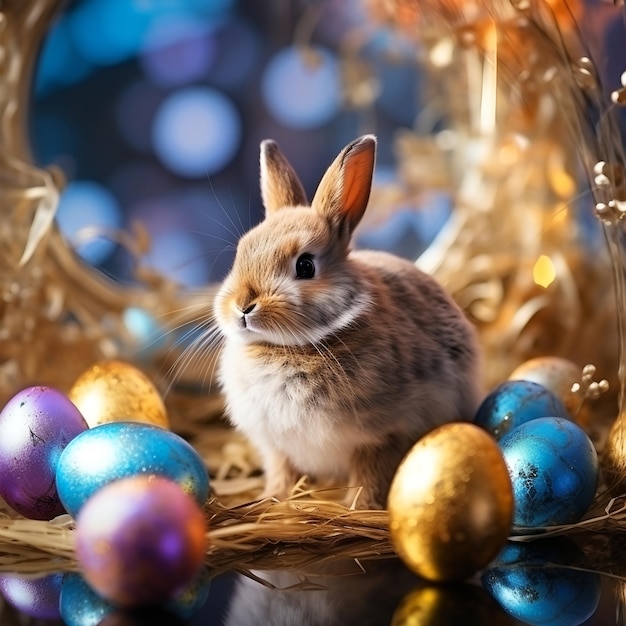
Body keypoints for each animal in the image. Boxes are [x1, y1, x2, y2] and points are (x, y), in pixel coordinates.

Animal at [212, 133, 480, 508]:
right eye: (241, 253)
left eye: (305, 266)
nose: (242, 306)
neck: (290, 348)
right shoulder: (276, 446)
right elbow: (281, 473)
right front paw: (273, 499)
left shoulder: (380, 437)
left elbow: (368, 479)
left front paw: (359, 510)